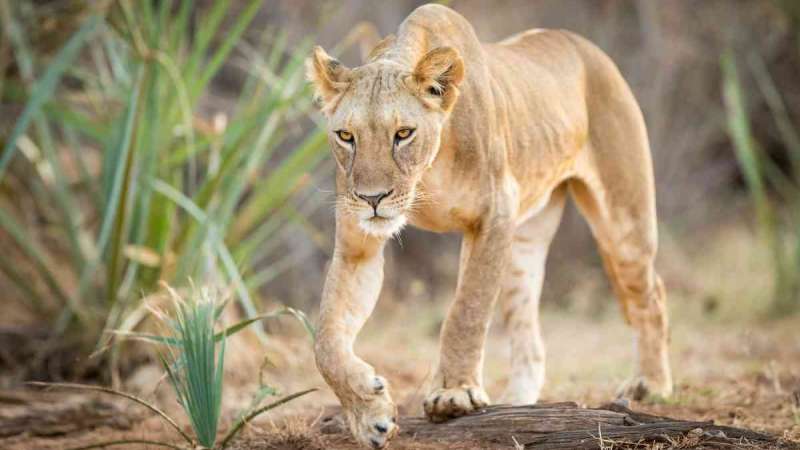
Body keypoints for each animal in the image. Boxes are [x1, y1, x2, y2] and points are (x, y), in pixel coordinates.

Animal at [306, 4, 672, 448]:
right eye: (346, 136)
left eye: (403, 134)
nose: (371, 198)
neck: (426, 174)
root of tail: (584, 46)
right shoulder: (358, 243)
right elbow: (326, 340)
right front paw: (369, 413)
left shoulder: (494, 214)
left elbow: (467, 310)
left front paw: (453, 395)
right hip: (522, 245)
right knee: (529, 333)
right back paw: (519, 404)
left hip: (623, 220)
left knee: (651, 295)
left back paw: (651, 386)